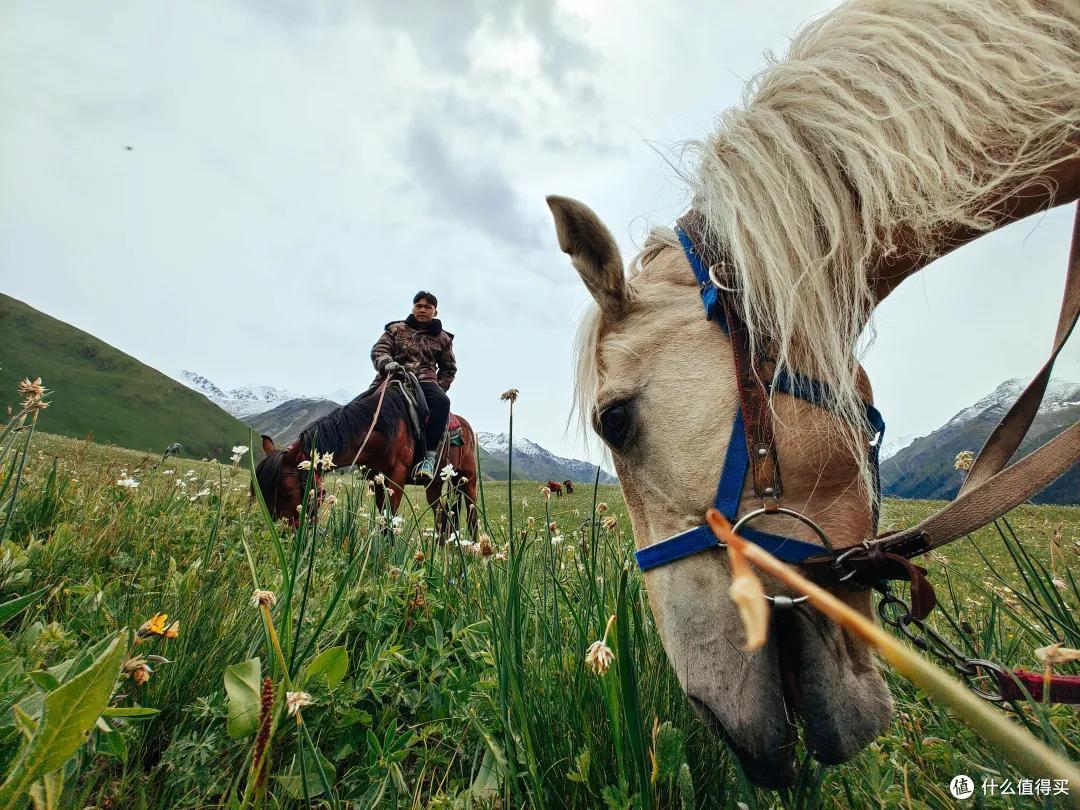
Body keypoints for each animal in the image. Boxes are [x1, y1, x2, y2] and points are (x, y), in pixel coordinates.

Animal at [254, 384, 479, 542]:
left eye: (288, 493)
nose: (282, 537)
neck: (382, 428)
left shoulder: (396, 476)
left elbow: (389, 518)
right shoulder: (376, 480)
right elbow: (382, 515)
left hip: (468, 480)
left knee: (472, 516)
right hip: (435, 484)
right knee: (443, 517)